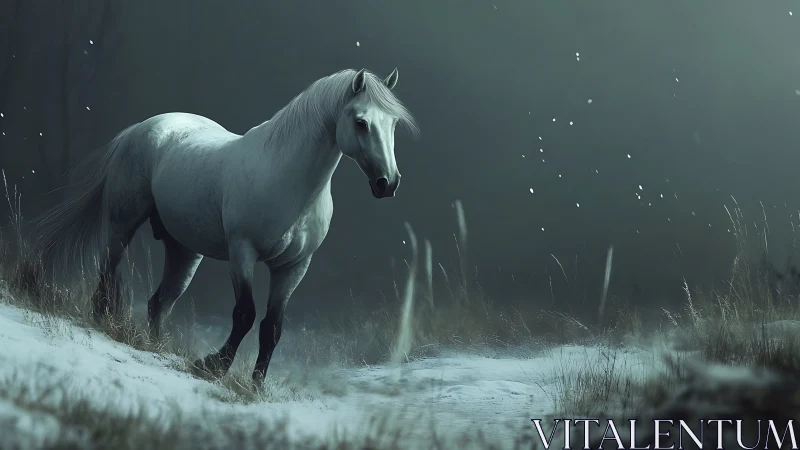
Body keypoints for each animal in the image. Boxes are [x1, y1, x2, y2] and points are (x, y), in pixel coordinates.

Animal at [34, 68, 418, 385]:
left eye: (393, 125)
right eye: (361, 122)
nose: (388, 183)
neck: (287, 178)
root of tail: (142, 128)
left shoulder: (293, 267)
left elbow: (272, 327)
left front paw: (257, 385)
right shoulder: (243, 252)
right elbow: (245, 314)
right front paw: (213, 366)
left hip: (184, 252)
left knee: (159, 302)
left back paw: (155, 347)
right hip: (122, 223)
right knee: (107, 269)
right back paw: (103, 321)